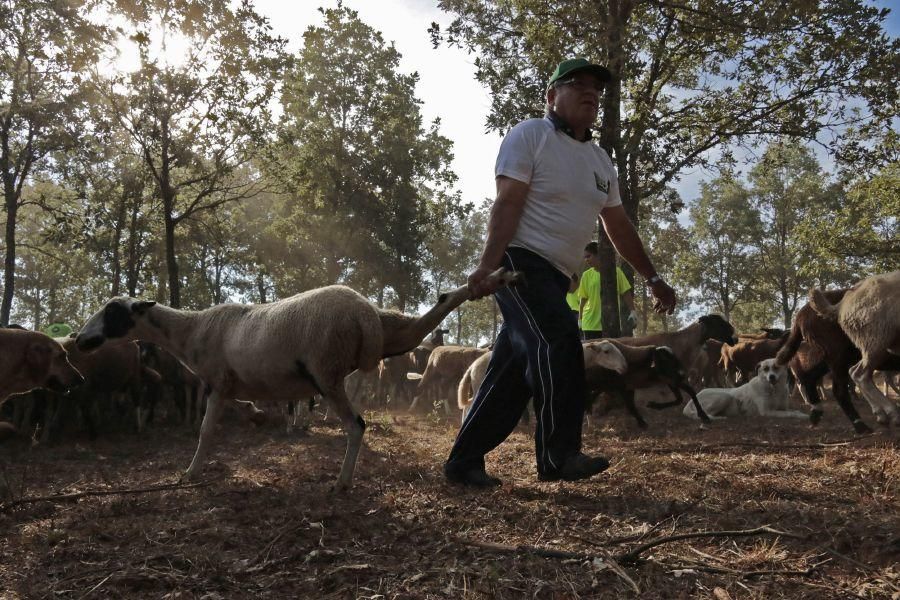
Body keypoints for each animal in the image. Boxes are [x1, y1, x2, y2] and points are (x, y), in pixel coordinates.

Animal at [77, 270, 520, 490]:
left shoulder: (217, 383)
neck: (191, 332)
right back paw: (497, 277)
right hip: (387, 339)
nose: (81, 340)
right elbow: (250, 410)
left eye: (112, 312)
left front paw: (190, 473)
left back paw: (341, 482)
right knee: (434, 309)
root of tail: (364, 313)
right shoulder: (234, 386)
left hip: (328, 372)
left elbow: (205, 431)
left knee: (357, 426)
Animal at [808, 272, 900, 426]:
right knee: (861, 374)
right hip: (876, 340)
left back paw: (880, 413)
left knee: (855, 372)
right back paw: (892, 412)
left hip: (871, 345)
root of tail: (842, 304)